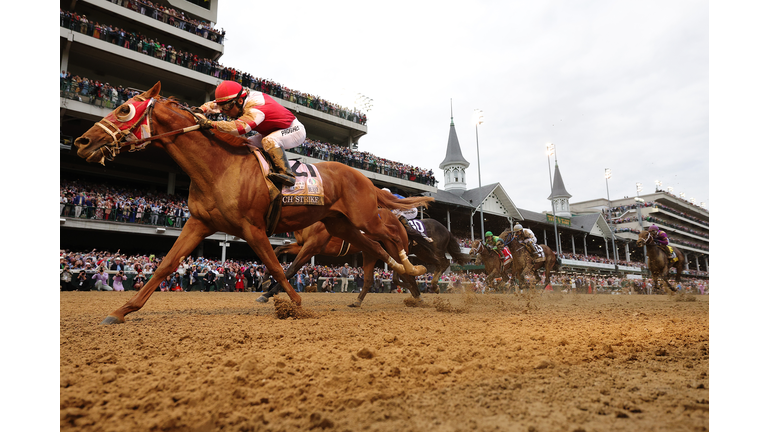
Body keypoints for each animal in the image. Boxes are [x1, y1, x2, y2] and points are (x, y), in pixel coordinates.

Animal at [75, 82, 436, 324]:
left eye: (124, 109)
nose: (82, 141)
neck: (219, 166)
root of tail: (364, 177)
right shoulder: (199, 223)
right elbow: (166, 265)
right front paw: (122, 310)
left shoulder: (253, 227)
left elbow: (278, 265)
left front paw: (294, 304)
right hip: (341, 224)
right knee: (374, 249)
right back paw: (403, 278)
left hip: (364, 217)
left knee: (392, 237)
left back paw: (415, 269)